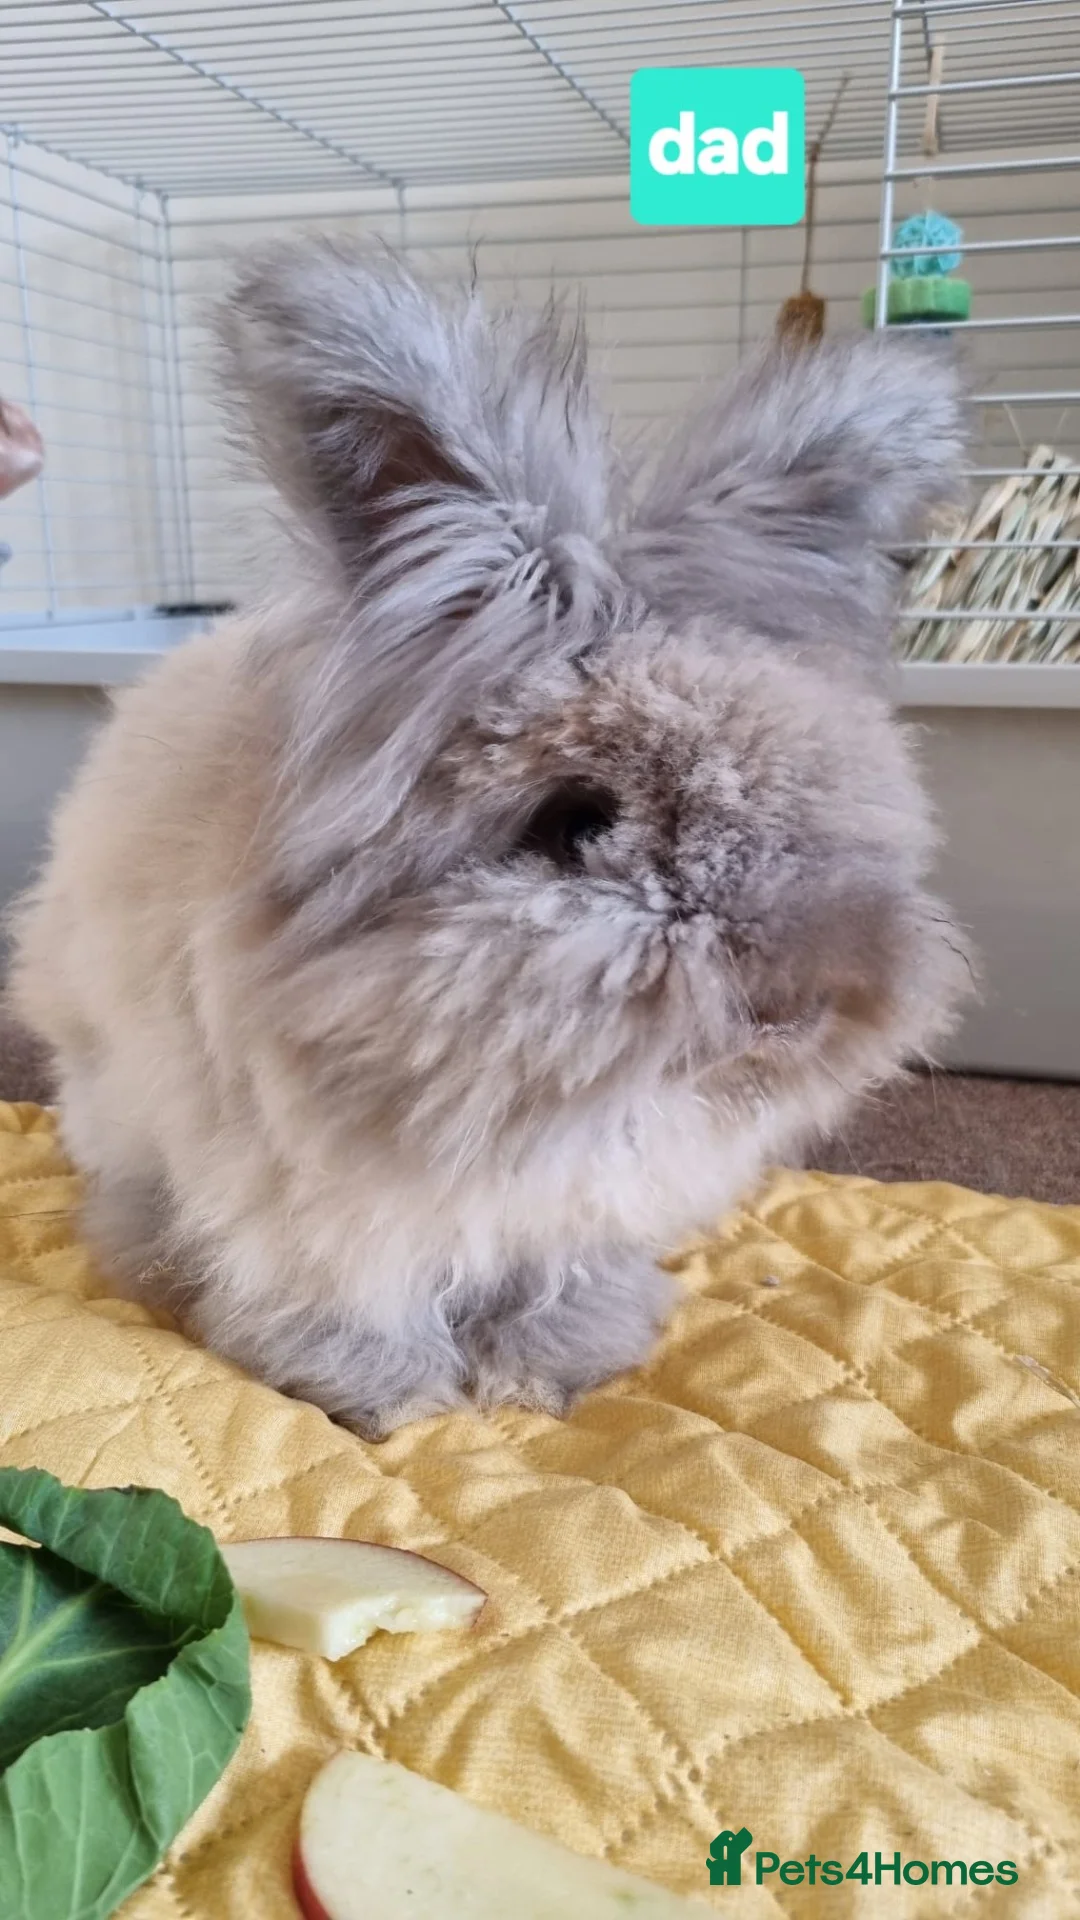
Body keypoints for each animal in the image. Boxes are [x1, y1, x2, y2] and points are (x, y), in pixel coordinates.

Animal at [7, 240, 972, 1437]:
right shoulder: (308, 1202)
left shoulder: (569, 1212)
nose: (805, 1007)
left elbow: (556, 1278)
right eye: (577, 821)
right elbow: (344, 1291)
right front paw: (388, 1397)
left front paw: (552, 1368)